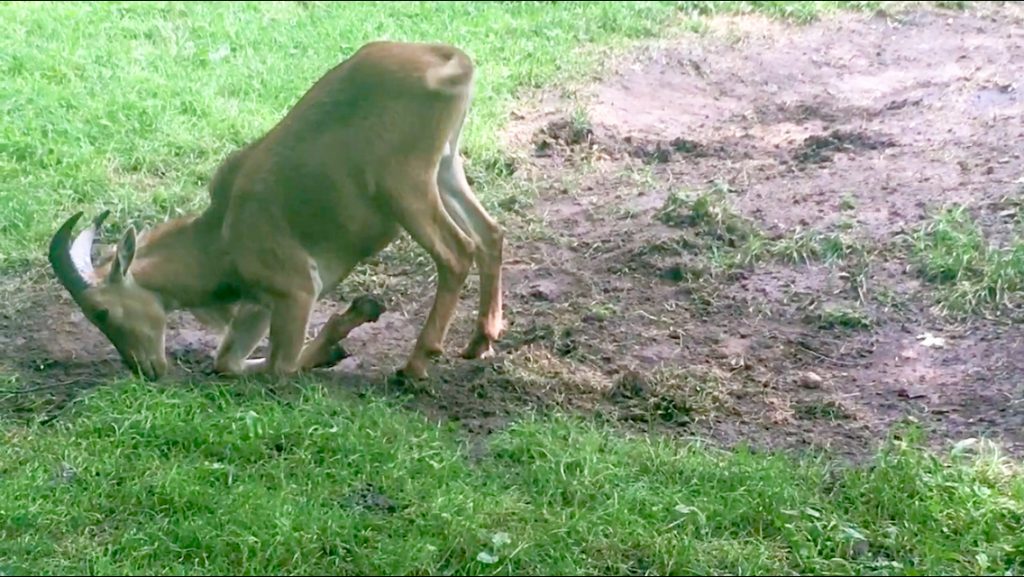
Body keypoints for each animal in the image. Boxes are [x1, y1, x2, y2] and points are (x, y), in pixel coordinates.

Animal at [48, 41, 503, 383]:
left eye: (102, 310)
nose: (146, 369)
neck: (223, 235)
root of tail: (451, 62)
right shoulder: (261, 304)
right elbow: (227, 362)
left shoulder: (295, 288)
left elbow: (279, 366)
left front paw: (346, 331)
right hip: (446, 167)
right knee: (490, 233)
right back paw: (480, 341)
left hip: (406, 186)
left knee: (456, 252)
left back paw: (415, 365)